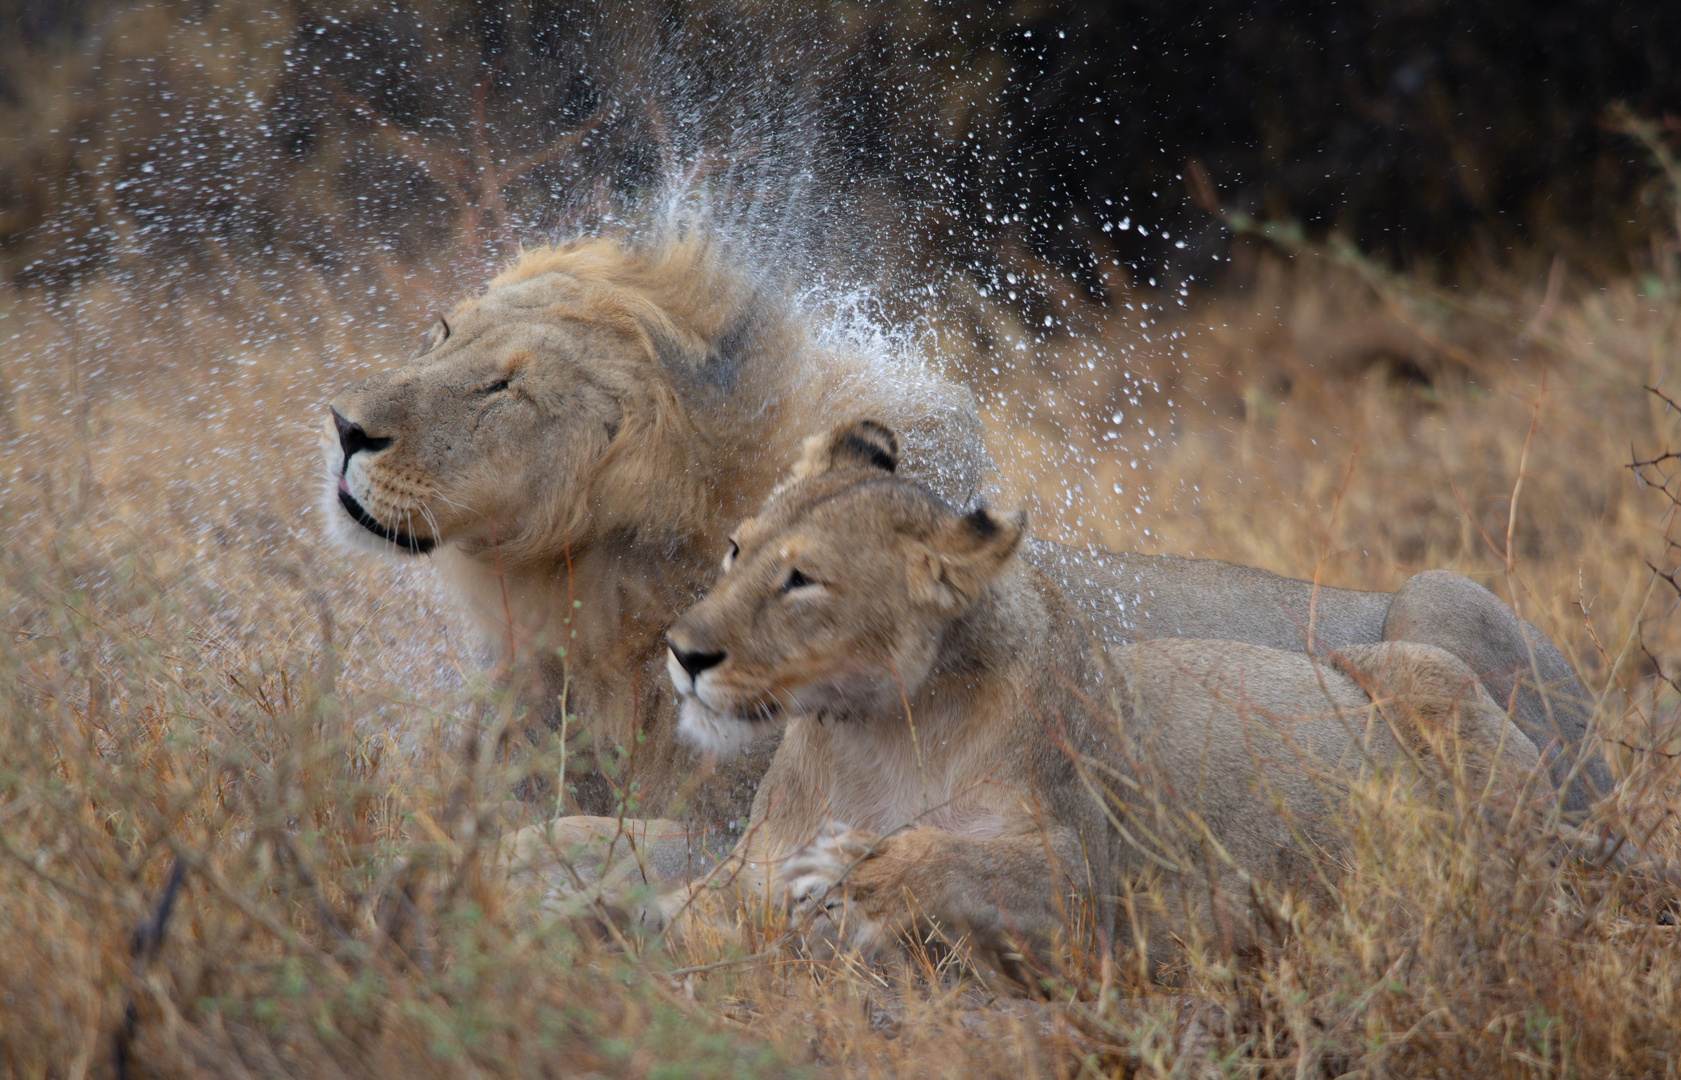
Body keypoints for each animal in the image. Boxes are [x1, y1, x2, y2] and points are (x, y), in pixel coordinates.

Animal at [324, 235, 1600, 868]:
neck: (583, 608)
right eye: (439, 332)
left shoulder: (761, 824)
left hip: (1446, 598)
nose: (342, 426)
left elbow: (587, 844)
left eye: (503, 386)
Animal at [665, 418, 1546, 975]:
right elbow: (682, 922)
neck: (878, 729)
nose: (682, 652)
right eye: (736, 548)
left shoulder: (1090, 899)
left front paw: (850, 864)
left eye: (801, 580)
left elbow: (946, 855)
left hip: (1421, 656)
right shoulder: (742, 872)